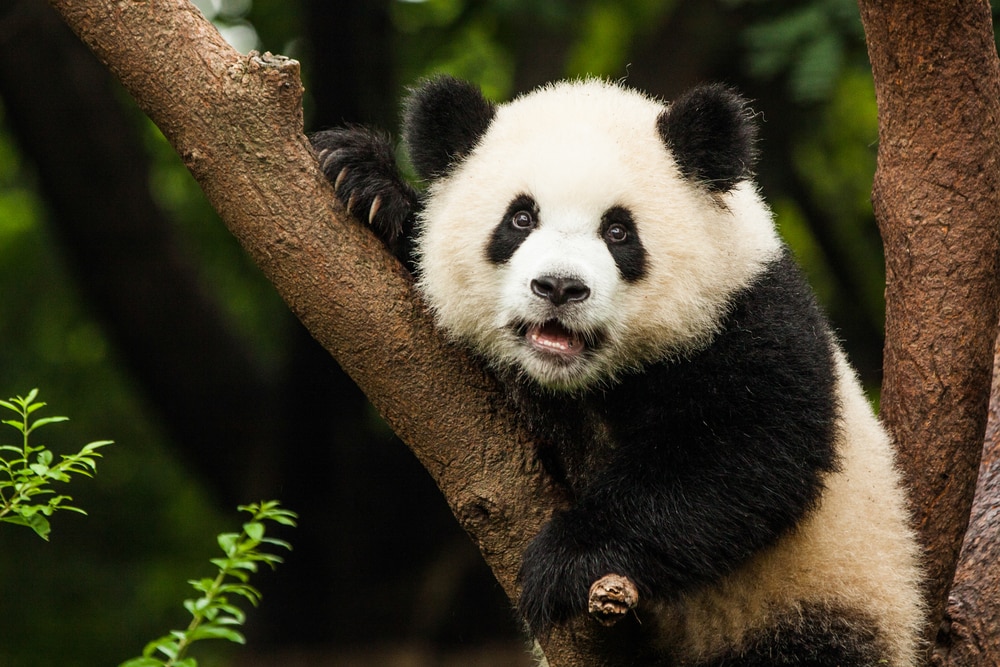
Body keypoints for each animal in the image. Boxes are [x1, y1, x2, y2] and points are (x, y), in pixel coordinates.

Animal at [311, 76, 925, 666]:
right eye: (520, 218)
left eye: (618, 231)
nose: (559, 287)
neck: (586, 382)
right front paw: (365, 182)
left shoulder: (750, 316)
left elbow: (748, 454)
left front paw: (566, 561)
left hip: (818, 601)